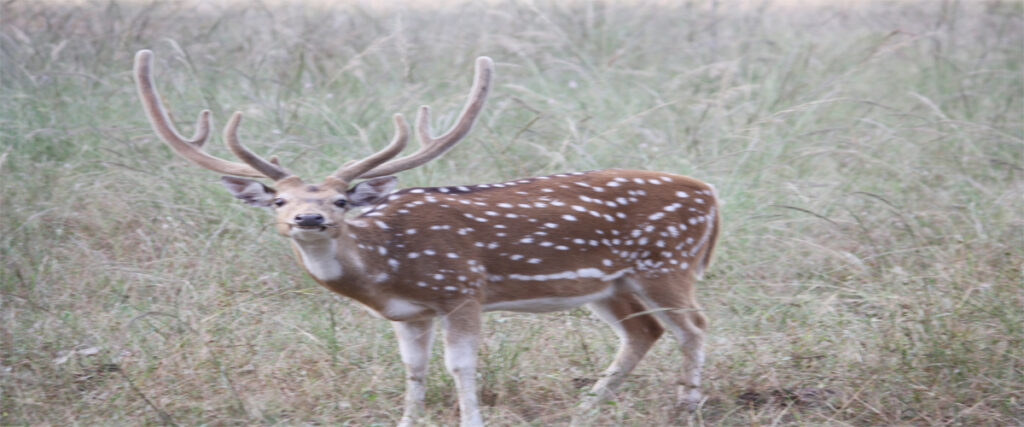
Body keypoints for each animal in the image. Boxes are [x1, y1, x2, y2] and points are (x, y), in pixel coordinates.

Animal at [134, 49, 720, 421]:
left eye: (341, 200)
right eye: (280, 200)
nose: (310, 219)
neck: (387, 270)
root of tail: (711, 195)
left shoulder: (462, 290)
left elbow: (460, 365)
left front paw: (471, 420)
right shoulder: (410, 314)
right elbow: (413, 370)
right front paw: (407, 420)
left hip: (667, 263)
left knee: (694, 326)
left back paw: (686, 407)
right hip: (609, 285)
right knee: (644, 332)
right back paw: (586, 409)